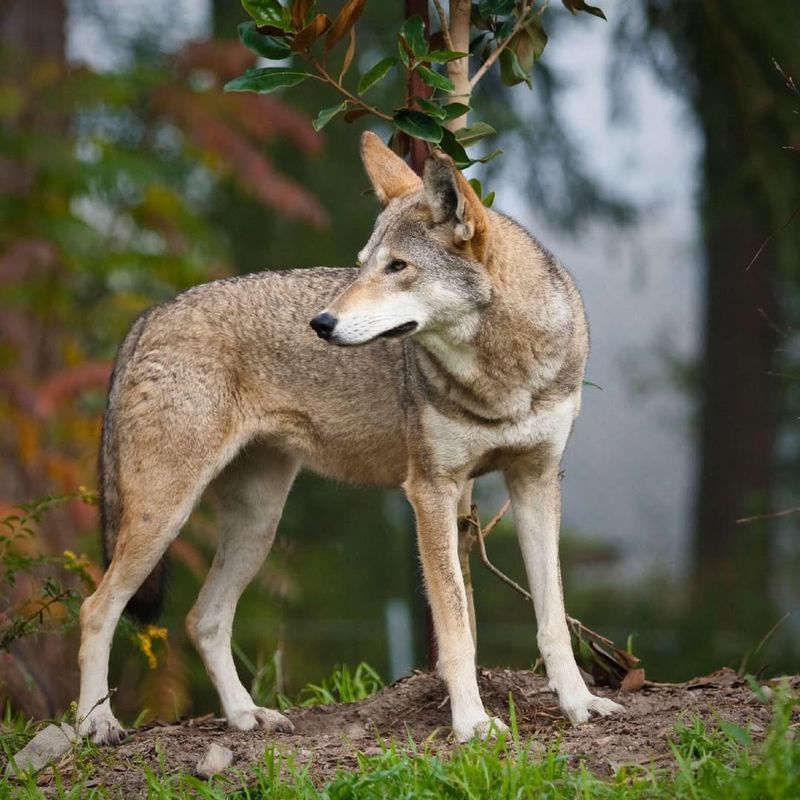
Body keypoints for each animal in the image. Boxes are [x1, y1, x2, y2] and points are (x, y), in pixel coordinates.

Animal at [76, 130, 624, 744]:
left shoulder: (536, 480)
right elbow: (456, 629)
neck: (502, 372)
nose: (321, 324)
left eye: (397, 267)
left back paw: (246, 716)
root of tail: (150, 316)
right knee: (96, 609)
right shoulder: (430, 491)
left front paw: (580, 705)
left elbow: (553, 620)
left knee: (203, 619)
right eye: (361, 266)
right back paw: (94, 724)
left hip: (257, 525)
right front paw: (472, 724)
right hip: (165, 516)